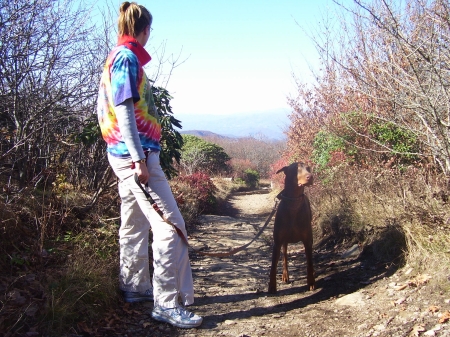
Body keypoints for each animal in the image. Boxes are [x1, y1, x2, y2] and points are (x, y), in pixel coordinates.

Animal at [268, 161, 314, 292]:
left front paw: (311, 282)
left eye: (308, 168)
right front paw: (271, 286)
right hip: (284, 241)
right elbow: (273, 265)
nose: (310, 177)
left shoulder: (308, 241)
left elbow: (310, 263)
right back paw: (285, 275)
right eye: (296, 169)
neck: (294, 202)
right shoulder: (277, 241)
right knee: (284, 256)